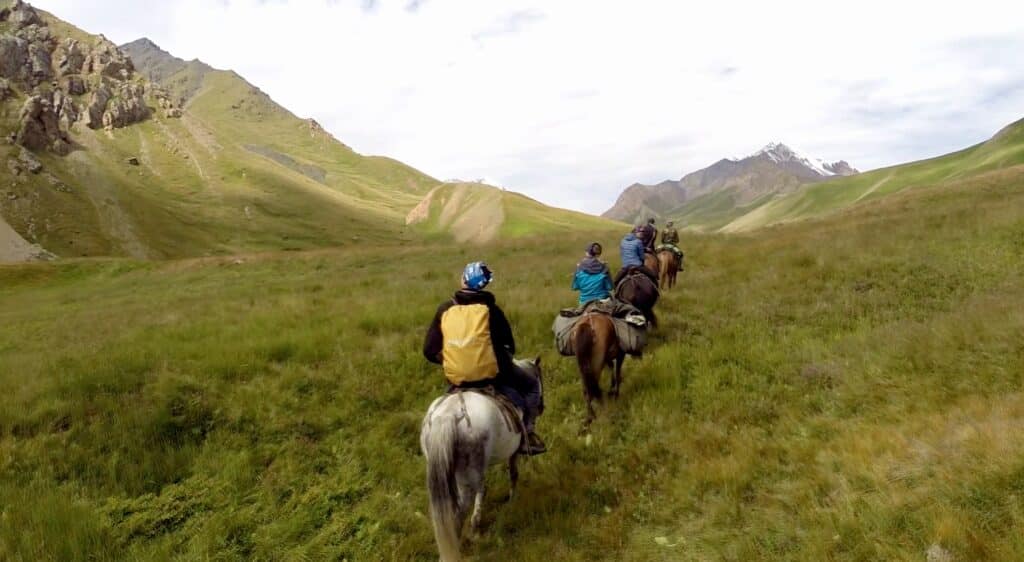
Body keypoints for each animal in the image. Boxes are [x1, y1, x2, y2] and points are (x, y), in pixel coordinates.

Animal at [419, 356, 544, 556]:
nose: (541, 407)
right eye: (540, 378)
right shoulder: (514, 451)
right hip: (470, 469)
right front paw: (512, 499)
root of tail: (450, 414)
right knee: (470, 499)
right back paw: (470, 532)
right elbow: (513, 474)